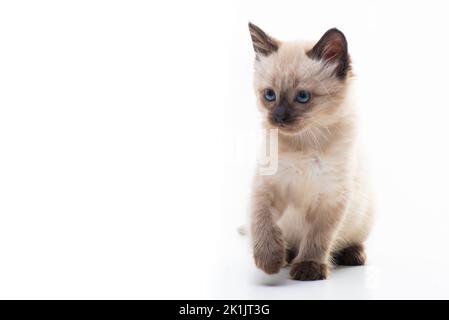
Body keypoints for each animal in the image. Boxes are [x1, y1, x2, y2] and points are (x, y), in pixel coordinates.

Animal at [247, 23, 372, 280]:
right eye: (269, 95)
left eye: (303, 97)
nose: (278, 118)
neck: (303, 144)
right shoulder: (266, 187)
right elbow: (262, 221)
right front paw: (269, 260)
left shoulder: (331, 198)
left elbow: (318, 238)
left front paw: (308, 268)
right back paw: (285, 256)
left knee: (350, 241)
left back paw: (353, 255)